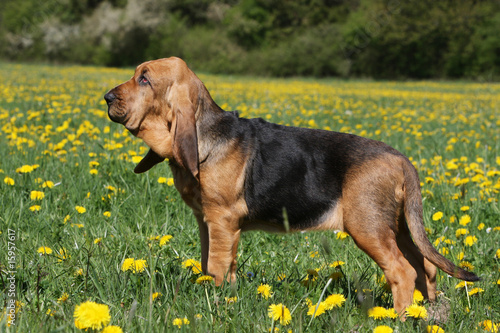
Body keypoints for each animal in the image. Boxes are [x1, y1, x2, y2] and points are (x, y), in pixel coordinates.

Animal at [103, 57, 478, 314]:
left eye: (144, 79)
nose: (106, 97)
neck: (206, 135)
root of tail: (402, 160)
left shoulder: (221, 221)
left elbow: (218, 266)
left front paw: (217, 300)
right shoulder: (206, 222)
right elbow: (214, 263)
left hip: (368, 226)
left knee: (402, 270)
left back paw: (398, 318)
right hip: (397, 226)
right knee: (425, 266)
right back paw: (426, 312)